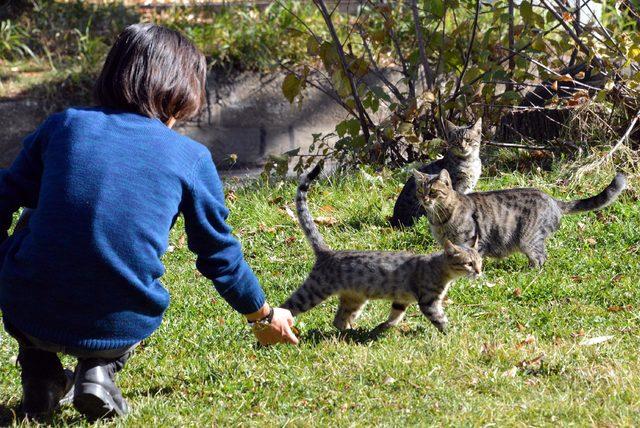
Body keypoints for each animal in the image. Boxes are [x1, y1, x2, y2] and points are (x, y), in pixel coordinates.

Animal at [282, 162, 482, 332]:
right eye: (469, 263)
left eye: (480, 262)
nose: (479, 272)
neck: (438, 267)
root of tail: (327, 252)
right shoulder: (428, 301)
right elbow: (440, 320)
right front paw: (452, 334)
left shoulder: (401, 300)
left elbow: (395, 315)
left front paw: (384, 326)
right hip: (313, 291)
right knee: (286, 307)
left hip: (354, 299)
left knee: (339, 320)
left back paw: (351, 333)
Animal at [412, 168, 628, 266]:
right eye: (420, 190)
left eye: (433, 192)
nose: (424, 199)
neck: (439, 220)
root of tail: (552, 199)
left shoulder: (470, 240)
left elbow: (473, 257)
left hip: (528, 239)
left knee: (541, 257)